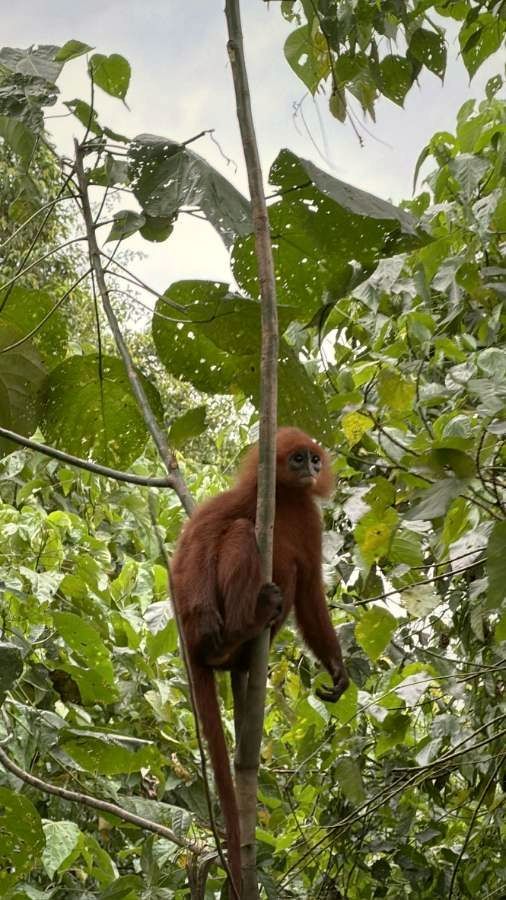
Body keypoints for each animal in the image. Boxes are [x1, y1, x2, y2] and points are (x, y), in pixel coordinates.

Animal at [171, 427, 348, 893]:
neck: (284, 499)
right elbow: (194, 541)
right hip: (194, 622)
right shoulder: (240, 497)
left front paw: (337, 668)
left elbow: (311, 592)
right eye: (298, 458)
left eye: (314, 459)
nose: (311, 468)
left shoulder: (311, 520)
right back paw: (233, 631)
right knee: (235, 532)